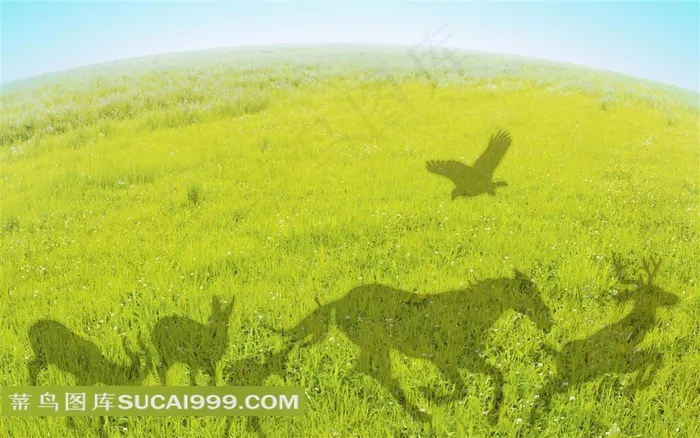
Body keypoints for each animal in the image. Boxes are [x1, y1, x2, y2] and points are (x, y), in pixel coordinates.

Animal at [263, 269, 553, 425]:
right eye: (533, 295)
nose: (549, 322)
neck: (472, 311)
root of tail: (340, 301)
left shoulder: (466, 358)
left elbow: (496, 375)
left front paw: (492, 416)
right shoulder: (445, 359)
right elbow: (462, 389)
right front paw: (430, 395)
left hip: (376, 347)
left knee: (370, 371)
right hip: (377, 344)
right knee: (376, 372)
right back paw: (418, 412)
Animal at [529, 255, 679, 424]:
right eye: (657, 290)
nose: (675, 298)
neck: (632, 334)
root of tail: (558, 354)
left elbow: (657, 355)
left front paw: (635, 386)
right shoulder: (620, 364)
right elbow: (655, 357)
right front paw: (636, 386)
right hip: (572, 375)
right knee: (545, 389)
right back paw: (532, 419)